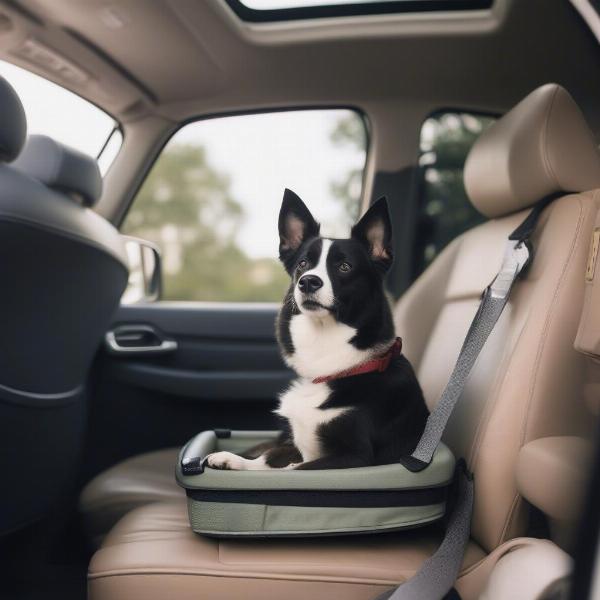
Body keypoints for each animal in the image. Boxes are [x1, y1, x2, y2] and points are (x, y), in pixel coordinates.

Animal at [205, 190, 426, 472]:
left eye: (345, 267)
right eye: (303, 263)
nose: (308, 281)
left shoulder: (355, 457)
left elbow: (292, 470)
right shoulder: (293, 444)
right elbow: (269, 458)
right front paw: (233, 459)